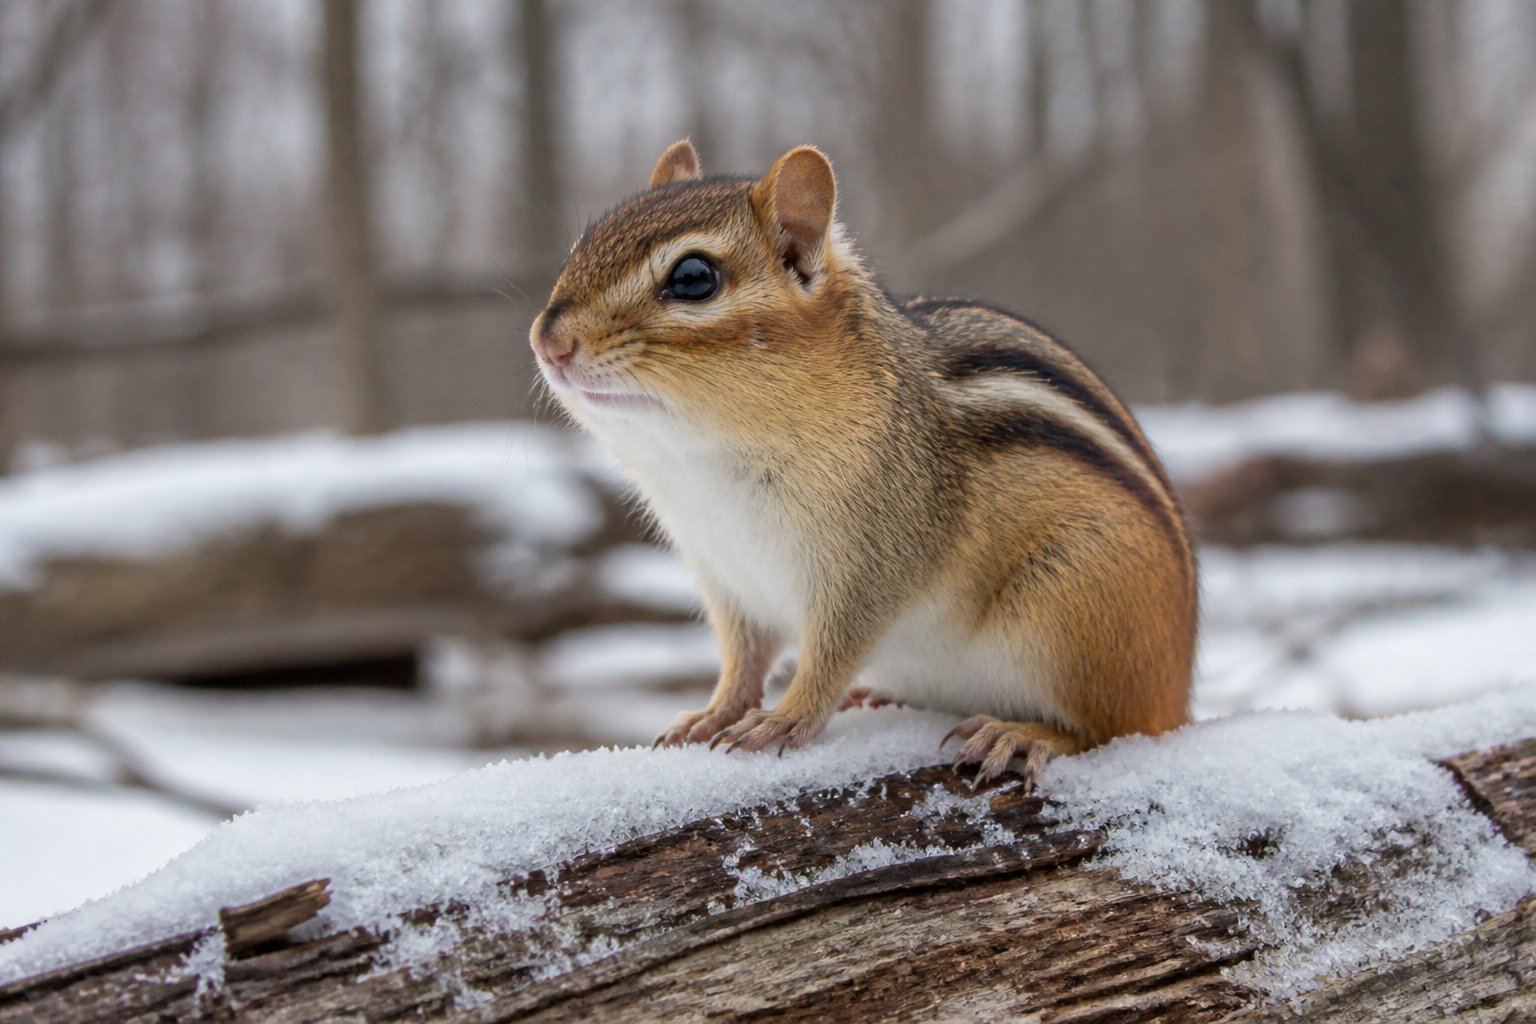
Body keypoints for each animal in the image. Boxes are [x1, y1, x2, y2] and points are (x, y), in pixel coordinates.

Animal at [530, 140, 1196, 786]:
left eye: (694, 277)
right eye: (578, 250)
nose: (548, 340)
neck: (701, 462)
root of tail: (1178, 691)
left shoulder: (873, 569)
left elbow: (829, 657)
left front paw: (784, 719)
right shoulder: (729, 579)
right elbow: (742, 660)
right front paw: (712, 712)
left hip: (1074, 609)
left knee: (1108, 729)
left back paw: (1021, 735)